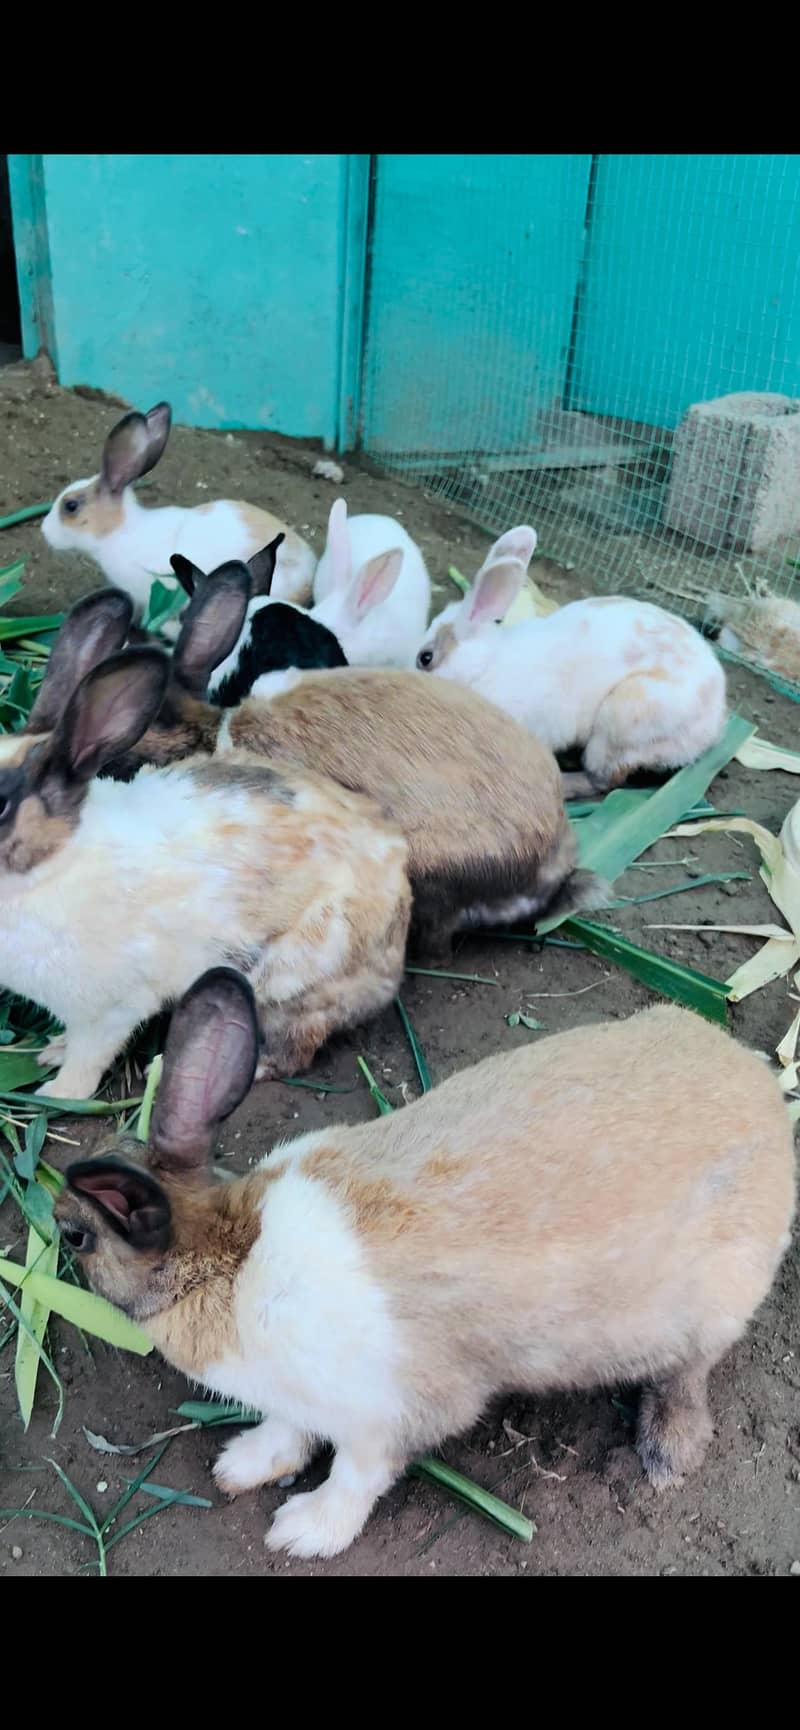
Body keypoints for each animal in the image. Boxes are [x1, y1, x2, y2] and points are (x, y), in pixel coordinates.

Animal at [0, 627, 410, 1101]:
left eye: (0, 805)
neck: (53, 862)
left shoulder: (109, 1012)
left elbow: (87, 1062)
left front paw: (57, 1094)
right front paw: (51, 1050)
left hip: (290, 986)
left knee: (294, 1048)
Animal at [55, 969, 796, 1561]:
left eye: (75, 1237)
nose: (56, 1226)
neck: (229, 1258)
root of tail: (762, 1091)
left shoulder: (388, 1416)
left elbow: (355, 1476)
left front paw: (304, 1531)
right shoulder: (301, 1398)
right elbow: (291, 1428)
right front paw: (242, 1466)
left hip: (704, 1312)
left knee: (688, 1377)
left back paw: (667, 1453)